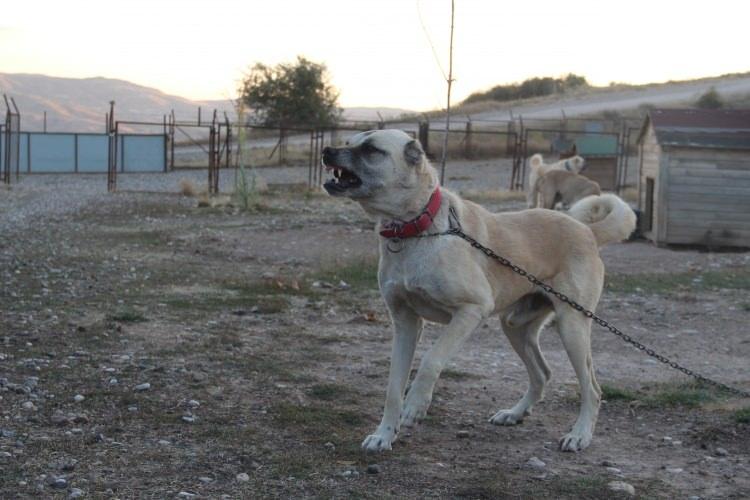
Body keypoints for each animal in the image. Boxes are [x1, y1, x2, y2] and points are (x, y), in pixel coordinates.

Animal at [320, 129, 636, 454]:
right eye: (349, 142)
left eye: (371, 149)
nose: (326, 151)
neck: (414, 228)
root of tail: (587, 232)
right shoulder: (405, 323)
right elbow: (393, 387)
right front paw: (384, 434)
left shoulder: (471, 310)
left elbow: (431, 360)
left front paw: (415, 406)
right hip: (514, 325)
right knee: (542, 373)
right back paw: (514, 413)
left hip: (572, 326)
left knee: (592, 388)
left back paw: (580, 435)